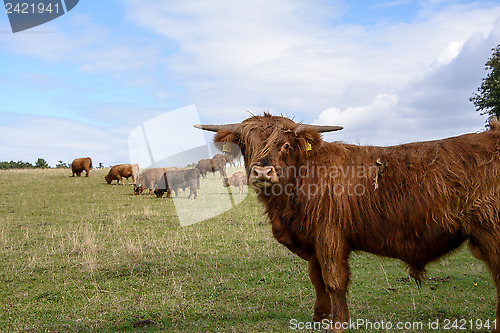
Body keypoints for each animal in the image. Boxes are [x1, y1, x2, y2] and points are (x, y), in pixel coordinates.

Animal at [196, 114, 500, 332]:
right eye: (247, 145)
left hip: (491, 232)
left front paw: (338, 323)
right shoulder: (313, 241)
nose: (262, 172)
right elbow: (316, 278)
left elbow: (334, 280)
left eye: (285, 144)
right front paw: (318, 317)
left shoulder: (330, 236)